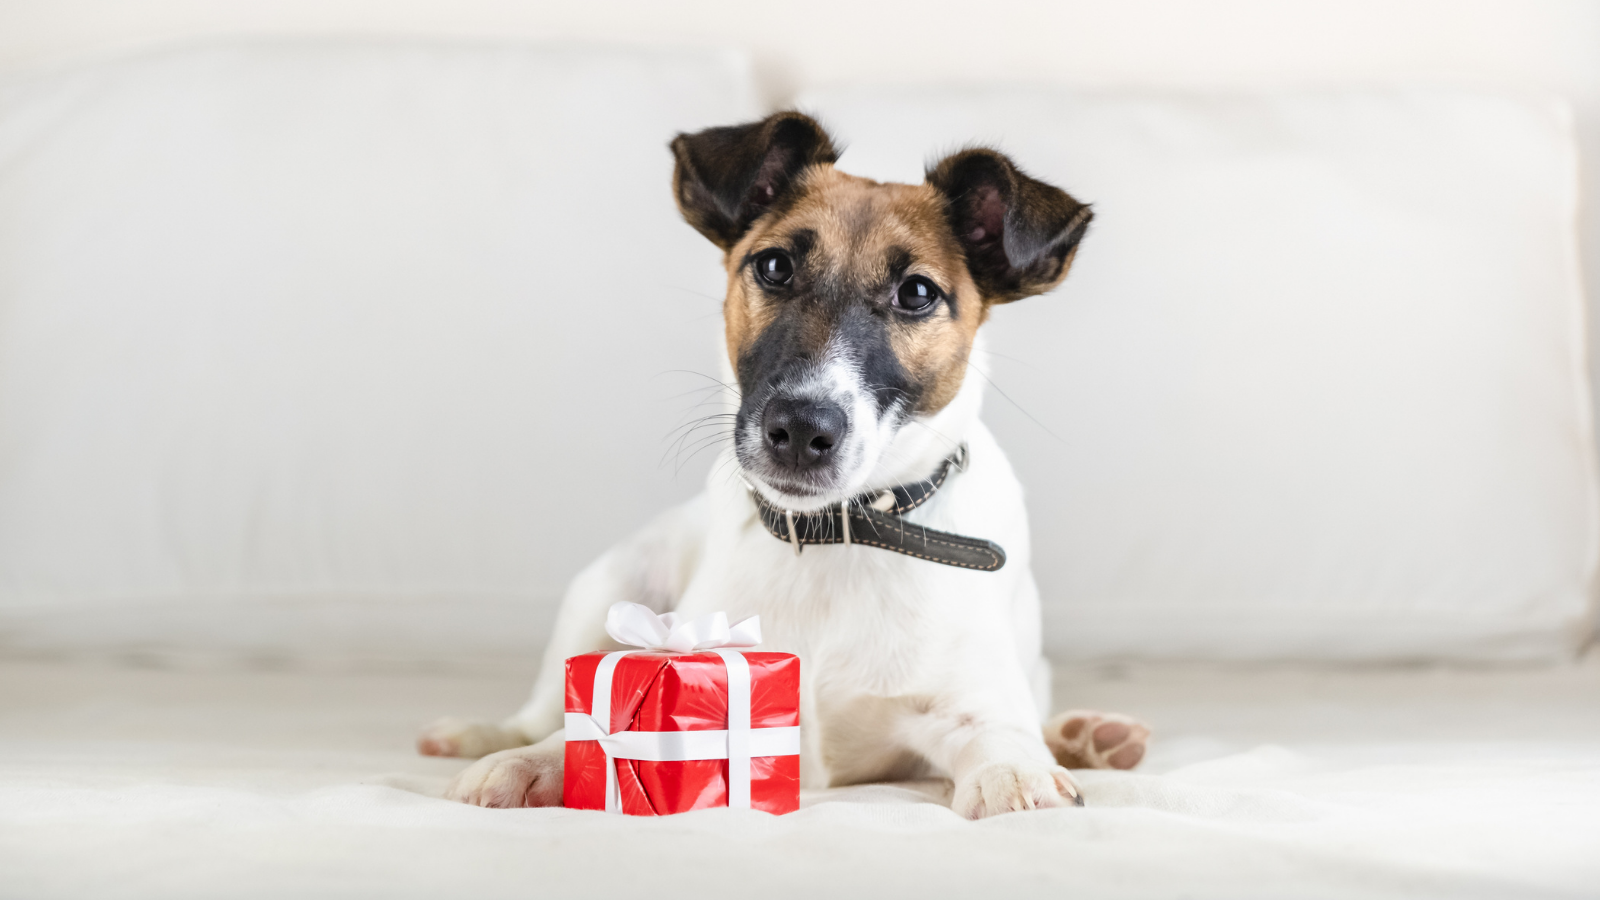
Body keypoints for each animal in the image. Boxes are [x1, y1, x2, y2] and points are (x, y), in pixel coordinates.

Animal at [419, 110, 1152, 813]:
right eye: (774, 267)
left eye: (917, 293)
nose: (800, 429)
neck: (835, 536)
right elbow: (582, 730)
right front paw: (533, 762)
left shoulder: (969, 703)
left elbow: (1003, 735)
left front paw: (1017, 775)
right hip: (606, 585)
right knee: (543, 704)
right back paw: (480, 735)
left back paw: (1091, 734)